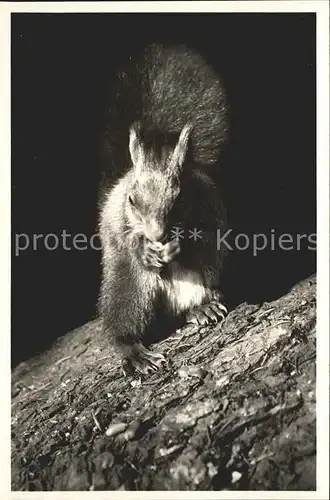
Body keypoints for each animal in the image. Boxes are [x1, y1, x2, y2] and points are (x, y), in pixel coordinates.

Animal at [98, 44, 229, 376]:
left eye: (180, 198)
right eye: (132, 200)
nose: (157, 235)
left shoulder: (211, 206)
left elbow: (206, 235)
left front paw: (180, 243)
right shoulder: (118, 220)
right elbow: (124, 239)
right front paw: (144, 247)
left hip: (207, 274)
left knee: (190, 302)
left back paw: (202, 307)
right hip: (129, 288)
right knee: (124, 321)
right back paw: (134, 351)